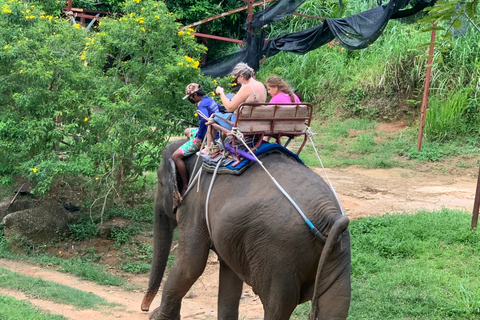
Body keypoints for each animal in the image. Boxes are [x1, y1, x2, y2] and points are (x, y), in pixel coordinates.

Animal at [141, 140, 350, 320]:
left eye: (159, 181)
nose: (144, 308)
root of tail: (329, 214)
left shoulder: (195, 204)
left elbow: (190, 264)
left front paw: (158, 317)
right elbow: (229, 277)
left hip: (279, 255)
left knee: (277, 307)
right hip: (338, 252)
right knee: (336, 305)